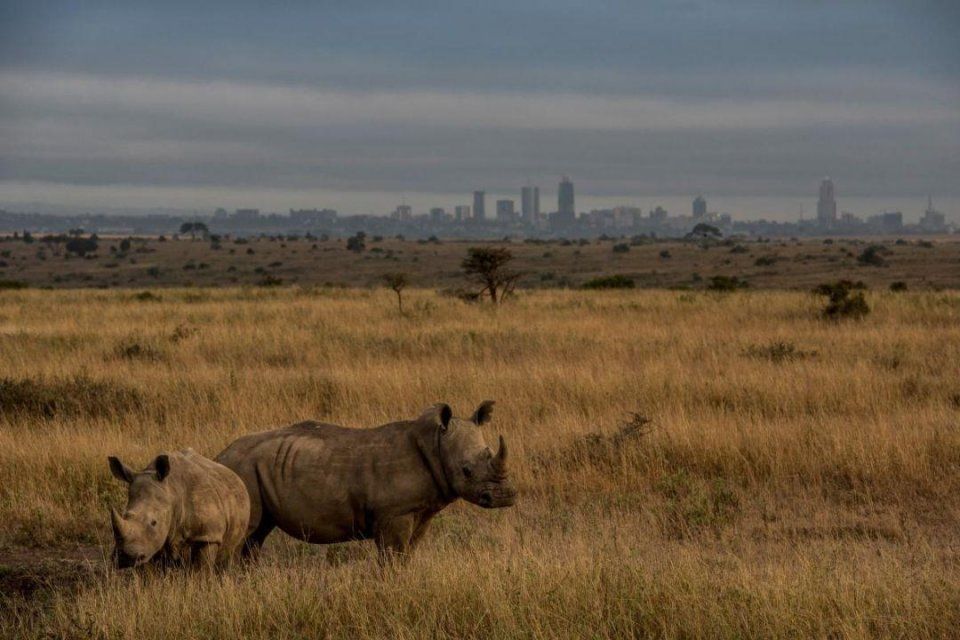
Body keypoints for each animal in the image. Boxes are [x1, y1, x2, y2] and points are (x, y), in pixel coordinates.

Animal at [106, 450, 249, 568]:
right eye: (125, 515)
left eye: (154, 522)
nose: (127, 558)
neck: (171, 489)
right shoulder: (149, 543)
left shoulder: (209, 534)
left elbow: (202, 569)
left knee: (235, 549)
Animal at [217, 402, 516, 556]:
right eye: (466, 471)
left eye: (488, 453)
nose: (506, 497)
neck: (435, 444)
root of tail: (222, 454)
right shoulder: (395, 514)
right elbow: (393, 557)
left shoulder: (420, 512)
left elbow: (408, 553)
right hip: (243, 468)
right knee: (247, 532)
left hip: (254, 468)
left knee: (256, 535)